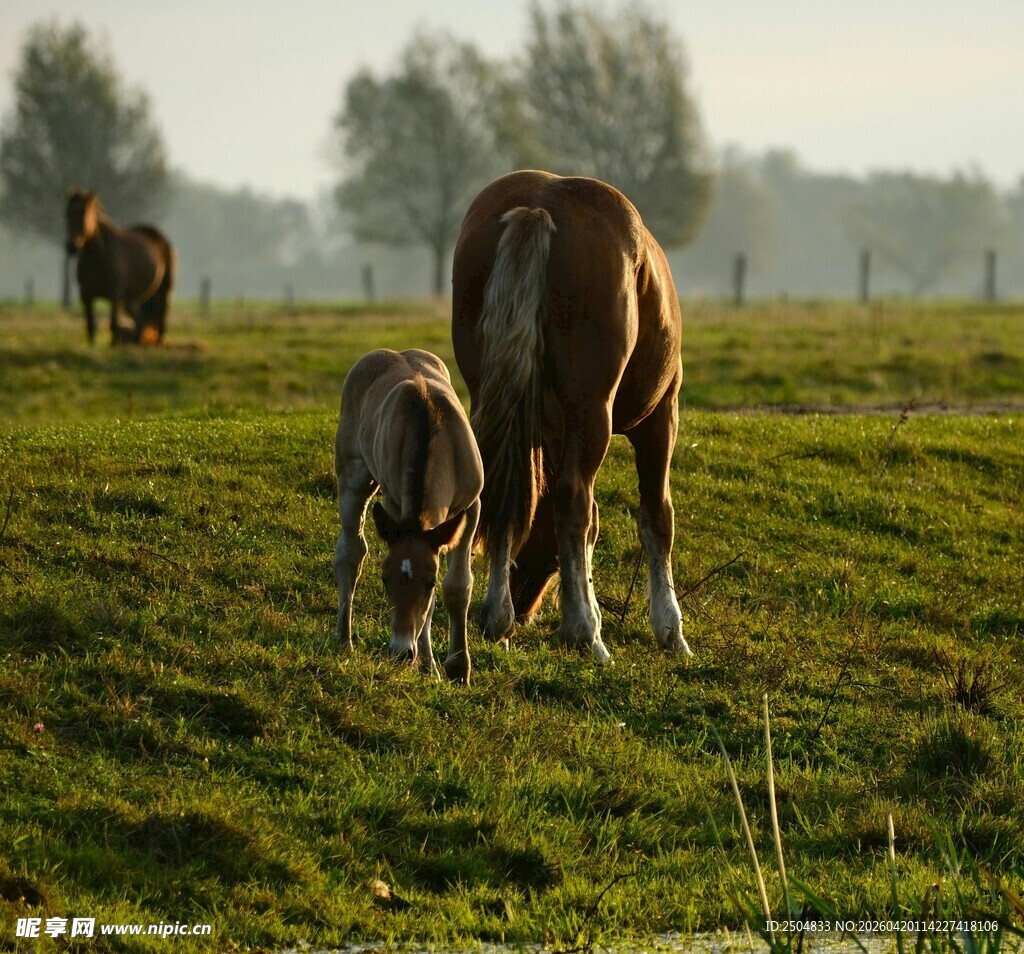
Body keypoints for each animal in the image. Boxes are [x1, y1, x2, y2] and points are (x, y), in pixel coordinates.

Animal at [64, 188, 176, 346]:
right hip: (133, 298)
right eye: (66, 214)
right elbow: (91, 325)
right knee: (140, 322)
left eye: (84, 213)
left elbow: (114, 324)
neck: (98, 258)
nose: (71, 246)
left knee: (160, 318)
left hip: (164, 291)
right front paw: (92, 347)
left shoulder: (114, 295)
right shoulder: (86, 295)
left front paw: (114, 345)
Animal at [333, 349, 483, 685]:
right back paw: (344, 640)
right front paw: (427, 664)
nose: (401, 652)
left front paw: (459, 669)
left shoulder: (472, 506)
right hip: (353, 474)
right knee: (351, 552)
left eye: (429, 583)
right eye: (385, 579)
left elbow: (457, 586)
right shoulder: (393, 503)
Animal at [451, 169, 693, 664]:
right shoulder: (661, 418)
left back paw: (496, 616)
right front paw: (670, 630)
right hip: (594, 412)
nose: (525, 602)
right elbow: (655, 517)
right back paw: (585, 632)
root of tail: (540, 207)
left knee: (500, 491)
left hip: (490, 395)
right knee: (573, 500)